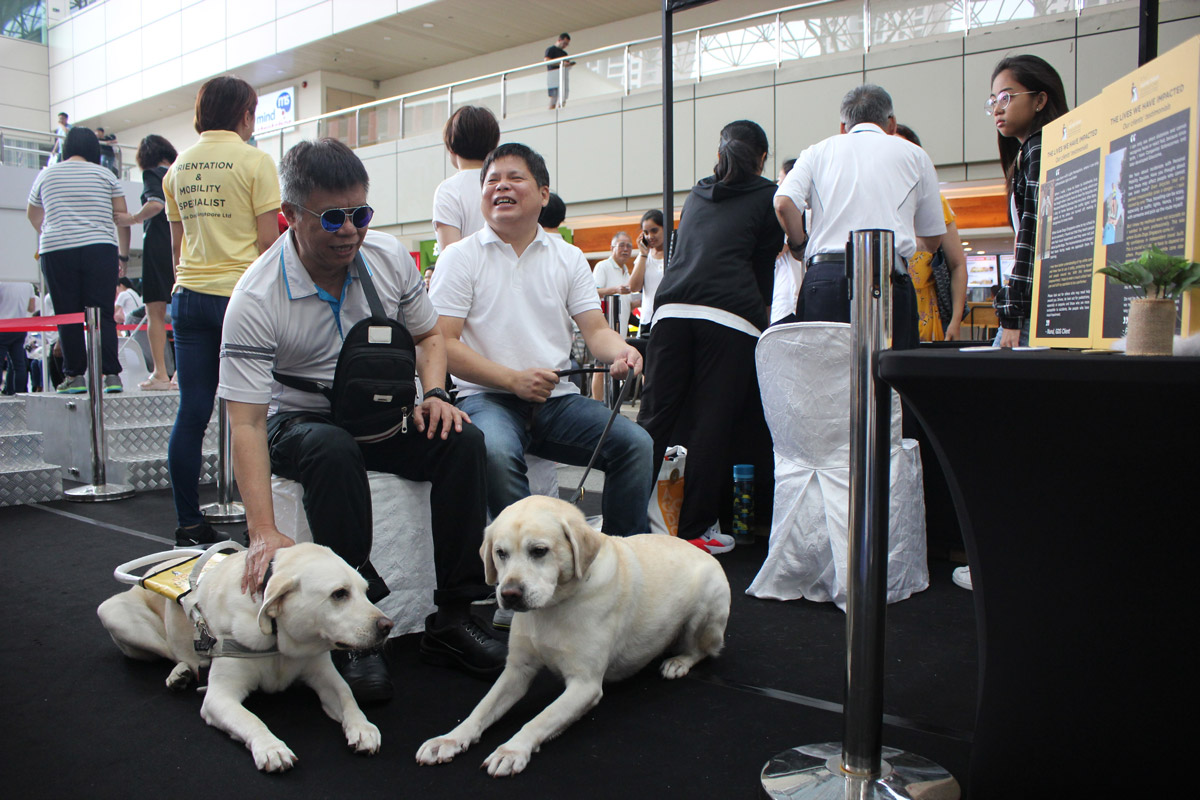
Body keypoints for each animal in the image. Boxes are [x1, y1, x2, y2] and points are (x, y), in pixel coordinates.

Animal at [97, 542, 393, 772]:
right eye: (339, 594)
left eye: (366, 592)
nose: (387, 626)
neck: (277, 635)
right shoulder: (219, 697)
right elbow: (251, 719)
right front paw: (271, 747)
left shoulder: (324, 674)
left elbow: (346, 695)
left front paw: (362, 727)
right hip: (116, 615)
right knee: (170, 651)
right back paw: (181, 672)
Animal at [412, 496, 729, 777]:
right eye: (500, 553)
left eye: (539, 550)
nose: (509, 594)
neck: (551, 608)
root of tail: (696, 548)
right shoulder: (517, 670)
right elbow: (481, 709)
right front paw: (450, 738)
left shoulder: (584, 685)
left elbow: (539, 720)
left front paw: (511, 750)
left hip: (707, 602)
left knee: (703, 650)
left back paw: (678, 662)